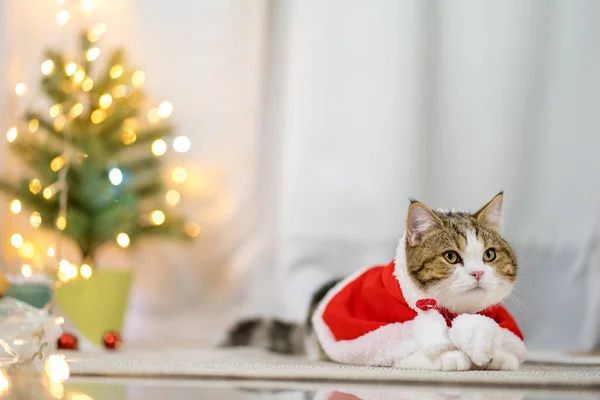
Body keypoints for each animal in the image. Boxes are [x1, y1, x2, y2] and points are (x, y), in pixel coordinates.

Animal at [221, 192, 524, 370]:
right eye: (451, 256)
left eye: (489, 255)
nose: (477, 273)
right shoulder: (375, 337)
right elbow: (409, 351)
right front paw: (452, 355)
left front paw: (497, 353)